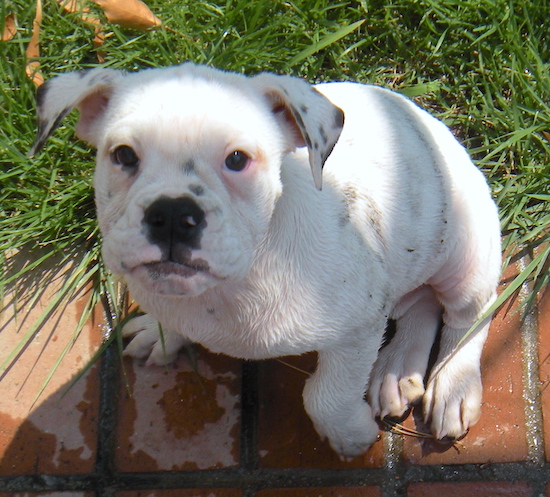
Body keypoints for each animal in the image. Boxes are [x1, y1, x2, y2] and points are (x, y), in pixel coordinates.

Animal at [31, 63, 504, 458]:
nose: (173, 213)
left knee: (467, 316)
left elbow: (326, 396)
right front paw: (162, 332)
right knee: (421, 304)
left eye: (237, 159)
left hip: (466, 252)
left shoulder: (357, 327)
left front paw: (348, 436)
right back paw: (396, 369)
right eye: (124, 155)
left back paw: (452, 386)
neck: (237, 280)